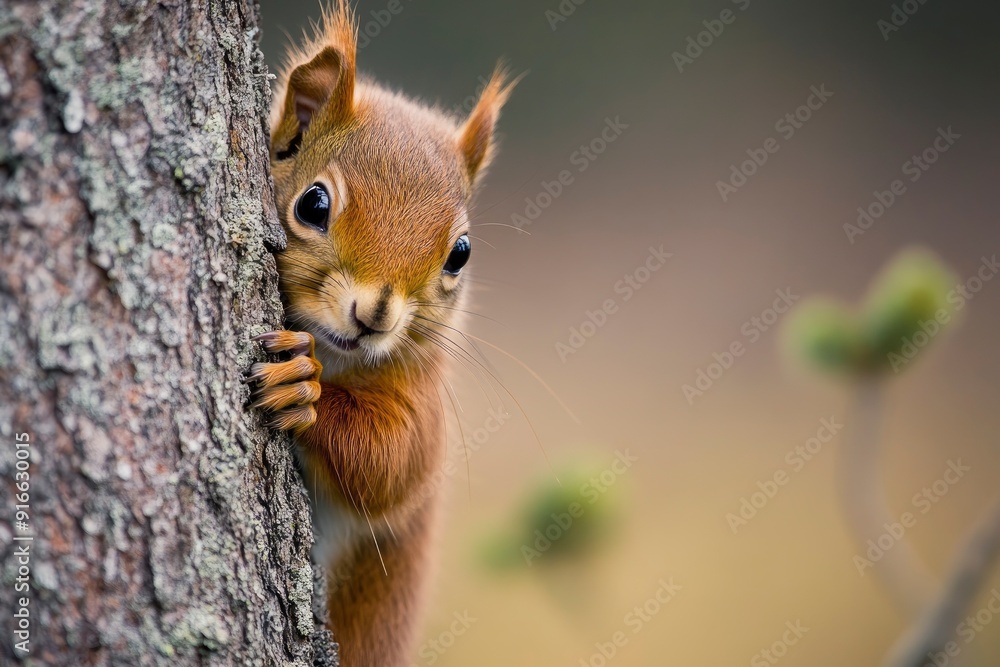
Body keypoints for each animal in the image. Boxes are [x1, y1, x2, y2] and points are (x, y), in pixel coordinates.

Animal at [249, 2, 513, 664]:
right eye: (314, 205)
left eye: (461, 254)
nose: (374, 315)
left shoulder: (423, 396)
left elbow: (396, 463)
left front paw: (304, 390)